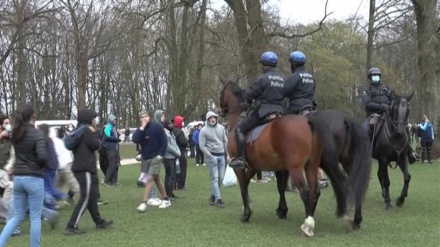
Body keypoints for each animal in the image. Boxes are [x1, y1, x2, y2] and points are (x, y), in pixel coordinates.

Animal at [218, 80, 348, 236]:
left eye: (221, 93)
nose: (221, 111)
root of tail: (308, 121)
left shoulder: (241, 167)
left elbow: (244, 186)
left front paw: (247, 214)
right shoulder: (258, 167)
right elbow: (268, 186)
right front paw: (275, 210)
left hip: (296, 168)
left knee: (306, 192)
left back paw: (308, 225)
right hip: (311, 166)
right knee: (315, 192)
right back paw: (312, 217)